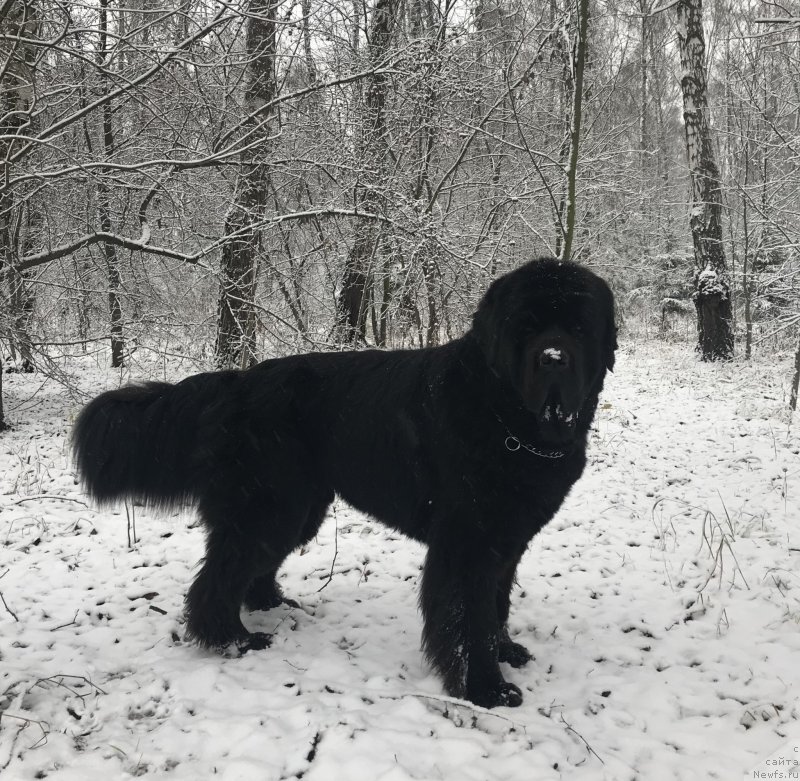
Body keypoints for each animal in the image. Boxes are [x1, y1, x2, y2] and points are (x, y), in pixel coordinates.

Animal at [72, 256, 616, 708]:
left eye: (578, 327)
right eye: (525, 327)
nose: (553, 358)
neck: (505, 420)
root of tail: (238, 382)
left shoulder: (506, 541)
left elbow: (496, 606)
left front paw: (506, 652)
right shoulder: (466, 545)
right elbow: (469, 618)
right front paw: (486, 688)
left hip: (297, 507)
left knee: (249, 566)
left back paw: (269, 603)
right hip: (269, 504)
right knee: (217, 579)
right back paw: (235, 639)